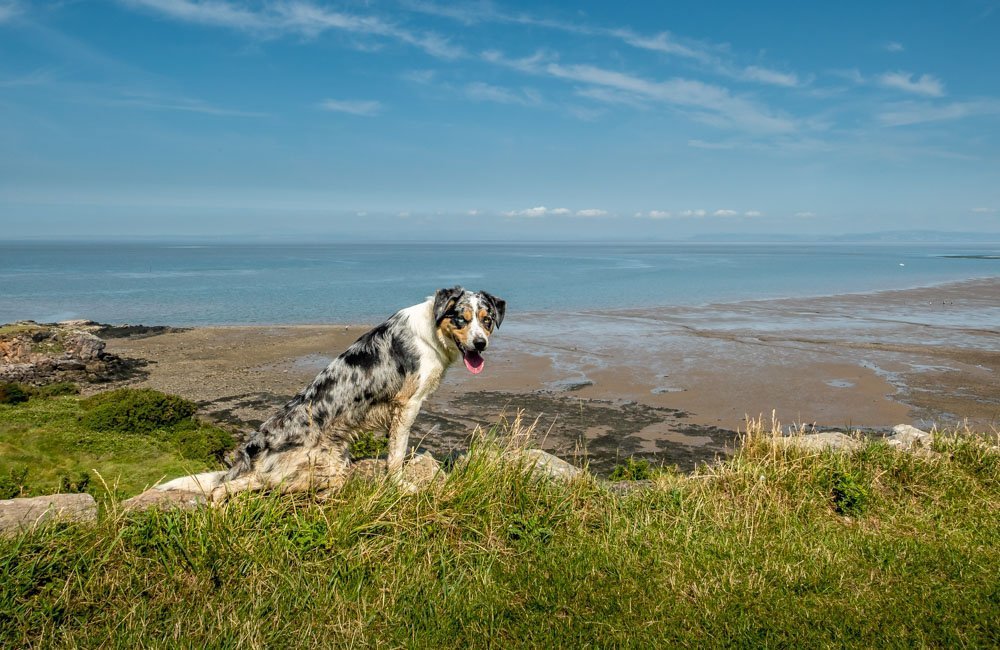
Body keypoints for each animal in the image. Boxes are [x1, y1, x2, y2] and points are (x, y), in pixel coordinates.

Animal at [158, 284, 508, 502]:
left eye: (487, 320)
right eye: (461, 319)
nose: (480, 344)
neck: (433, 332)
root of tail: (255, 444)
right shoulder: (406, 405)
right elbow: (396, 454)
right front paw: (402, 485)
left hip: (327, 465)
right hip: (304, 466)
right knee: (232, 487)